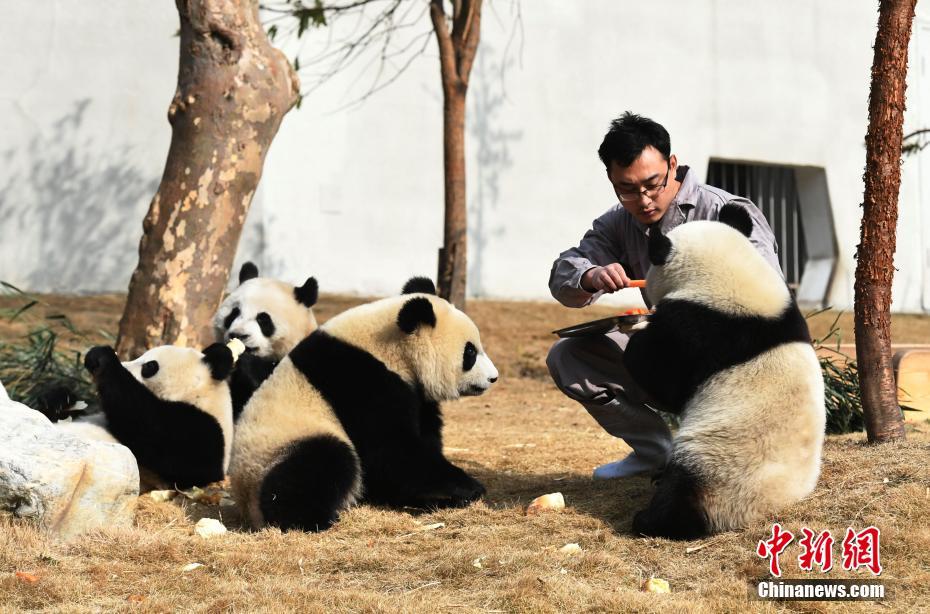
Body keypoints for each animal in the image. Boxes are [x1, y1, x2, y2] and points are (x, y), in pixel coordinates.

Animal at [56, 342, 237, 490]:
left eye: (150, 366)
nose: (124, 364)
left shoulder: (203, 432)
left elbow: (148, 428)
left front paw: (101, 357)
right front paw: (61, 398)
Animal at [228, 280, 496, 536]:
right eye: (470, 352)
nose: (493, 378)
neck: (391, 348)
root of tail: (245, 501)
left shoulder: (415, 392)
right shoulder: (361, 380)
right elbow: (392, 449)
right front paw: (466, 488)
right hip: (279, 446)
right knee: (322, 461)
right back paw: (311, 518)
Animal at [624, 206, 828, 540]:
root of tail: (767, 508)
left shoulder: (698, 329)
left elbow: (663, 377)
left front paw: (637, 340)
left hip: (716, 465)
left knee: (682, 494)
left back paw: (650, 518)